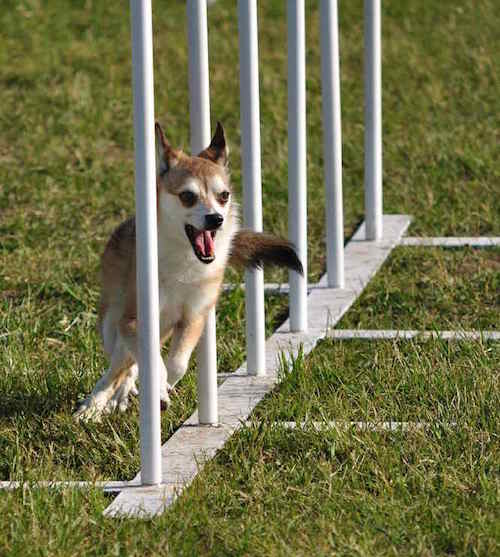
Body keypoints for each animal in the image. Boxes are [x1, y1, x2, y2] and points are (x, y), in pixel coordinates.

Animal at [74, 120, 300, 416]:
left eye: (224, 195)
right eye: (187, 196)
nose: (216, 219)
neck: (184, 262)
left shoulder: (193, 317)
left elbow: (176, 364)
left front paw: (163, 388)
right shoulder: (134, 321)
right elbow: (150, 364)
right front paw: (155, 390)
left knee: (130, 364)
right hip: (113, 321)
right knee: (117, 364)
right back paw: (95, 404)